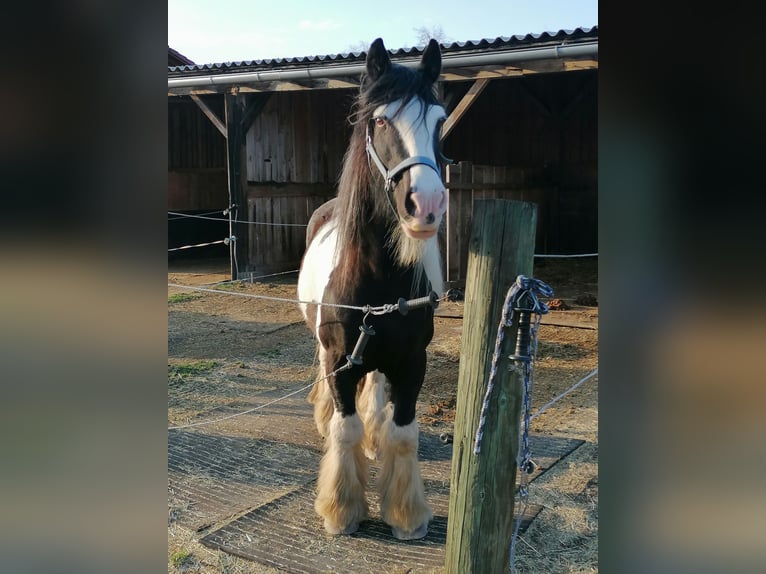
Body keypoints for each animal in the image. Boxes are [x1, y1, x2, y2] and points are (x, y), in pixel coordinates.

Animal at [297, 37, 449, 540]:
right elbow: (345, 428)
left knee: (377, 391)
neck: (377, 278)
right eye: (382, 120)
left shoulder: (412, 361)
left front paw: (406, 515)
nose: (427, 203)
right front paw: (341, 510)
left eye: (439, 121)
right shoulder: (340, 358)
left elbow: (403, 432)